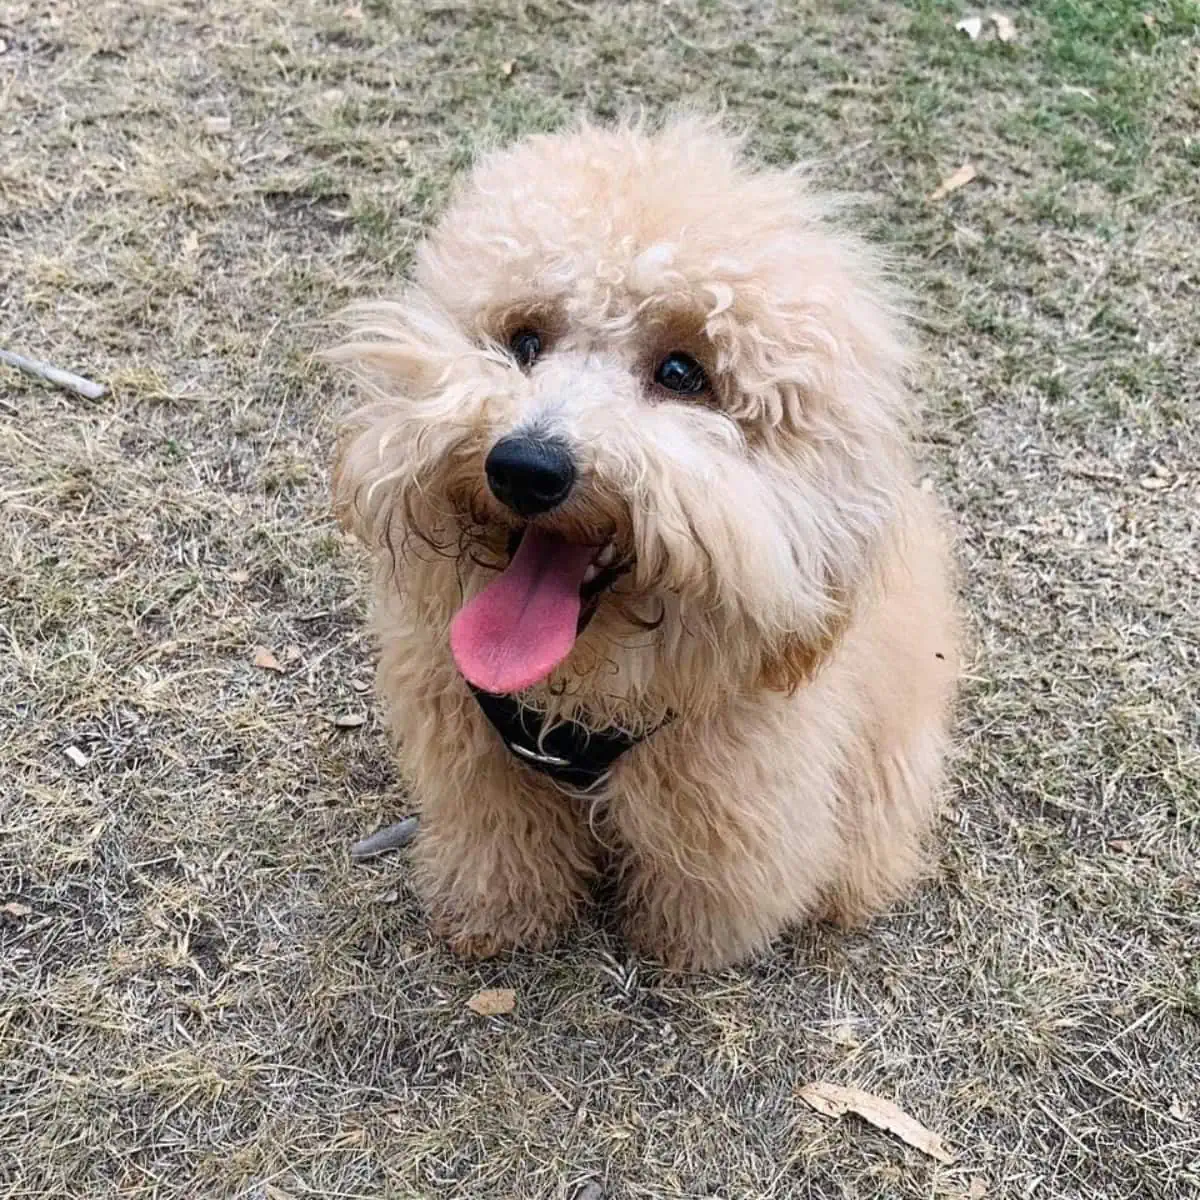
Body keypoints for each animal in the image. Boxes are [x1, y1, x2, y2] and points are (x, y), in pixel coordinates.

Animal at [331, 114, 964, 974]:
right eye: (524, 341)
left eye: (682, 372)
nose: (525, 467)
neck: (582, 694)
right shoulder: (475, 754)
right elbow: (499, 843)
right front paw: (496, 918)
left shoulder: (734, 781)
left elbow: (715, 877)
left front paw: (684, 947)